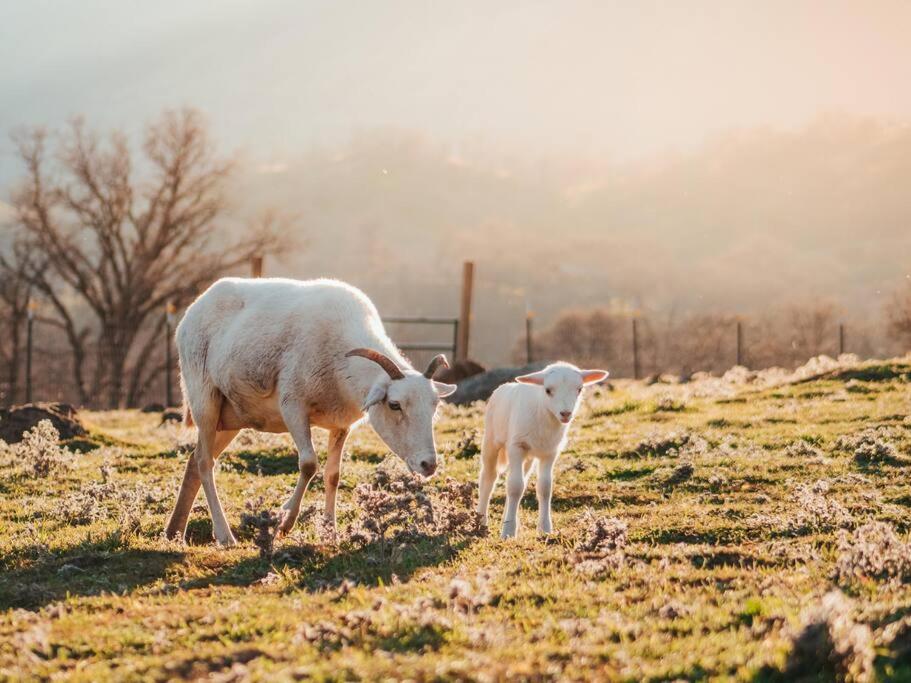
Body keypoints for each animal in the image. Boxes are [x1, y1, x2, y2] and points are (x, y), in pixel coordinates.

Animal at [164, 276, 456, 548]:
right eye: (394, 404)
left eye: (434, 406)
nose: (429, 465)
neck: (342, 360)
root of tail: (194, 309)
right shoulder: (293, 405)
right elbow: (308, 464)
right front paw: (284, 522)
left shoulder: (341, 424)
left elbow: (333, 475)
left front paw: (330, 532)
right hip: (205, 399)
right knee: (204, 462)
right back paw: (224, 535)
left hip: (231, 417)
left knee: (194, 460)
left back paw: (174, 532)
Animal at [478, 364, 612, 540]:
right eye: (548, 390)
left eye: (579, 389)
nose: (566, 413)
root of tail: (504, 386)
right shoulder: (516, 446)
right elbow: (515, 487)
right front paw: (508, 532)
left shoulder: (550, 452)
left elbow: (544, 487)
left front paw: (545, 529)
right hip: (492, 440)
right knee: (489, 478)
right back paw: (481, 522)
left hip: (528, 457)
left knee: (518, 479)